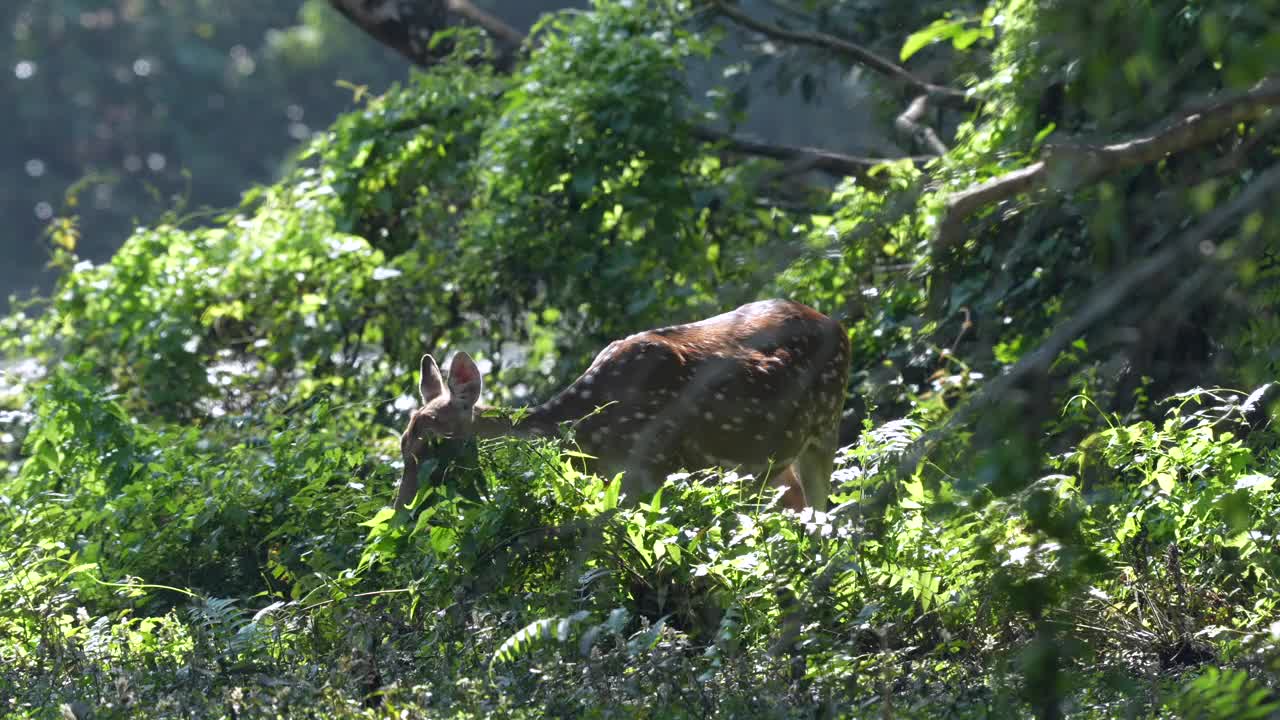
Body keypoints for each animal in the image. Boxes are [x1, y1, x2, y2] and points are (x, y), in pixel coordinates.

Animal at [394, 297, 844, 509]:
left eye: (435, 441)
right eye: (403, 443)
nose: (402, 509)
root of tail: (837, 324)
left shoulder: (659, 469)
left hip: (826, 427)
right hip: (772, 464)